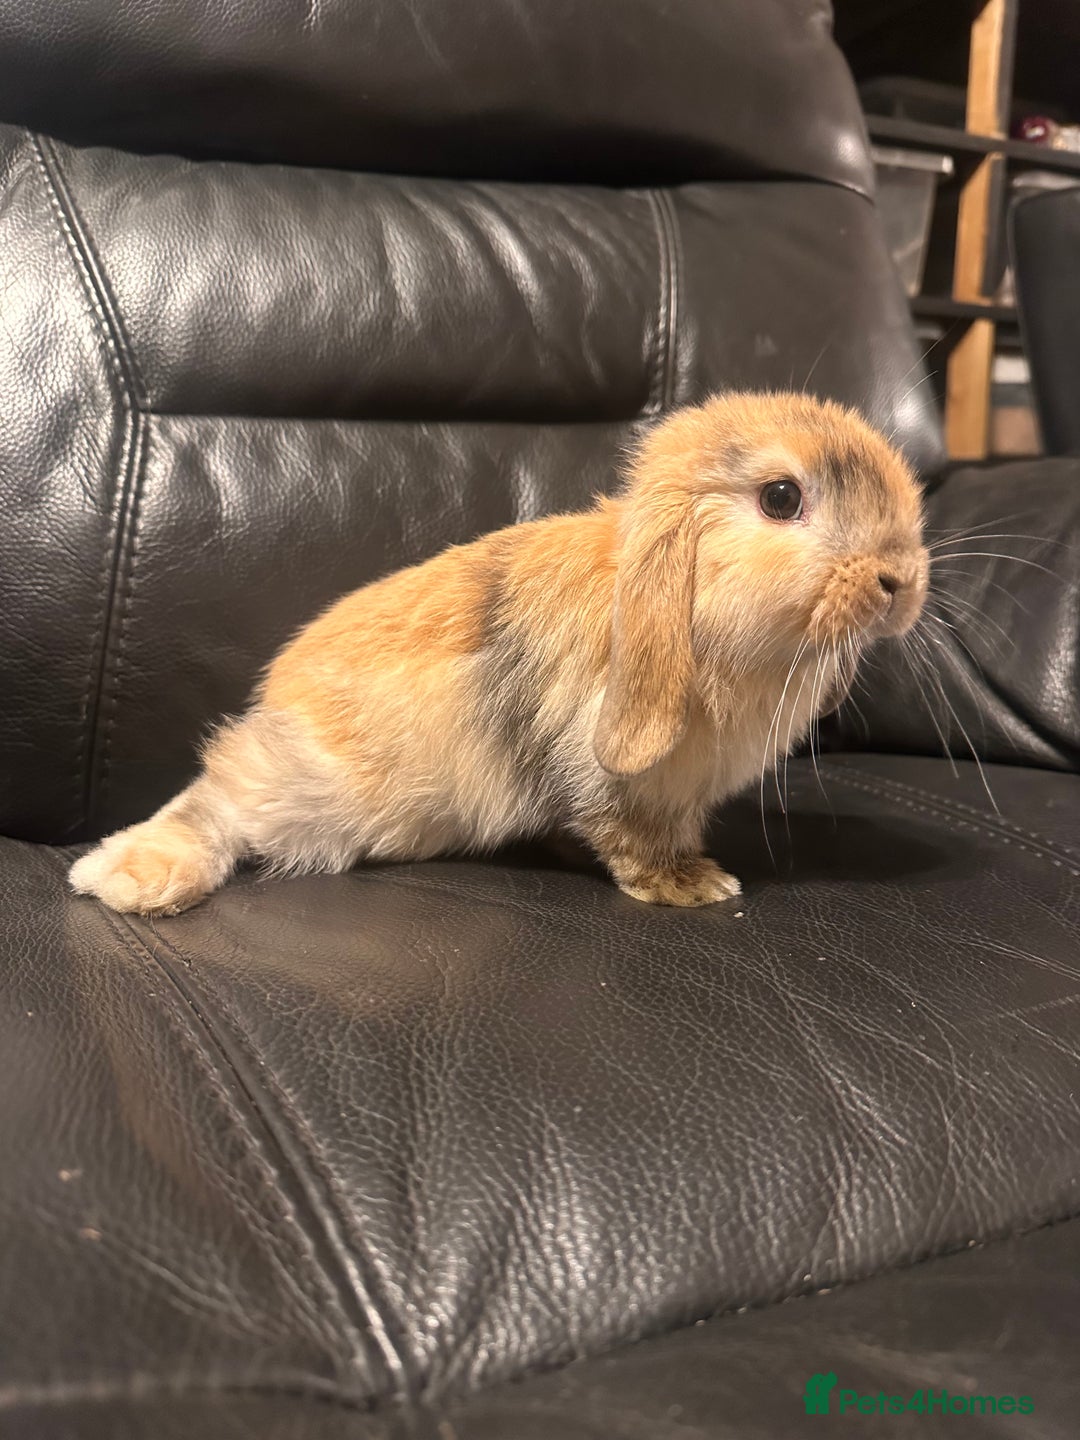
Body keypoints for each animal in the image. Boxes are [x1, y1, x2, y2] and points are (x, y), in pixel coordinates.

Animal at [70, 392, 928, 916]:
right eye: (781, 498)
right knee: (213, 797)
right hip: (308, 790)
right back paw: (127, 878)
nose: (903, 580)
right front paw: (692, 886)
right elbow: (625, 834)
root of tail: (274, 698)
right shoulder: (607, 774)